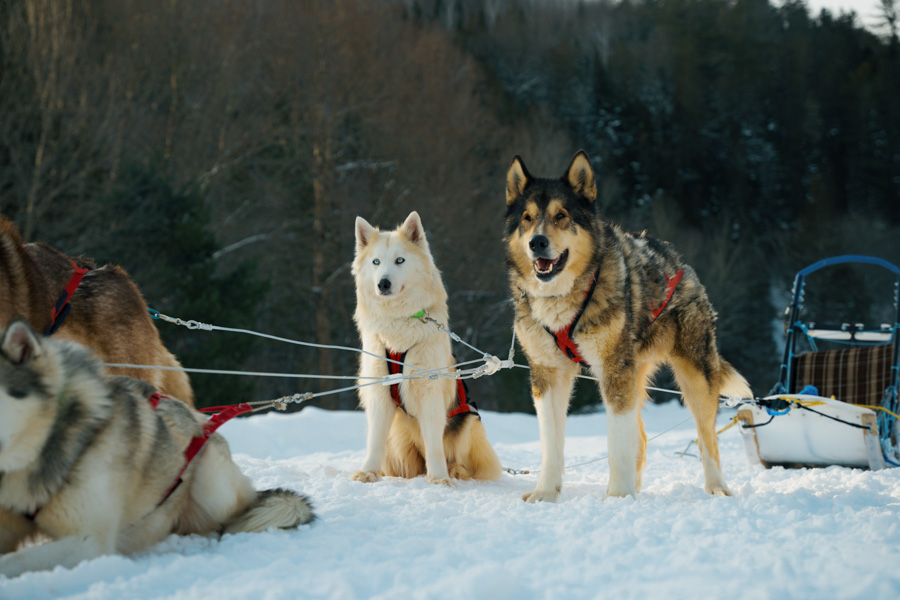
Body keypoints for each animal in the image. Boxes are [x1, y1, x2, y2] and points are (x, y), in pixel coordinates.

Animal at [352, 211, 502, 482]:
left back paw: (454, 471)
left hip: (469, 421)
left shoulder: (429, 393)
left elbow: (434, 444)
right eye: (376, 262)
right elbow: (374, 440)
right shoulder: (379, 391)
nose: (383, 284)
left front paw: (439, 478)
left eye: (400, 260)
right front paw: (368, 472)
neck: (398, 326)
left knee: (459, 458)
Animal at [502, 150, 748, 502]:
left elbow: (616, 444)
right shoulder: (547, 373)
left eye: (561, 215)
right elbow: (552, 444)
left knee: (707, 439)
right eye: (527, 217)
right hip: (637, 373)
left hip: (695, 376)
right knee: (641, 440)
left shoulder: (613, 369)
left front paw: (618, 497)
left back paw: (716, 487)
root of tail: (681, 264)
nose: (537, 242)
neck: (563, 299)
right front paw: (546, 493)